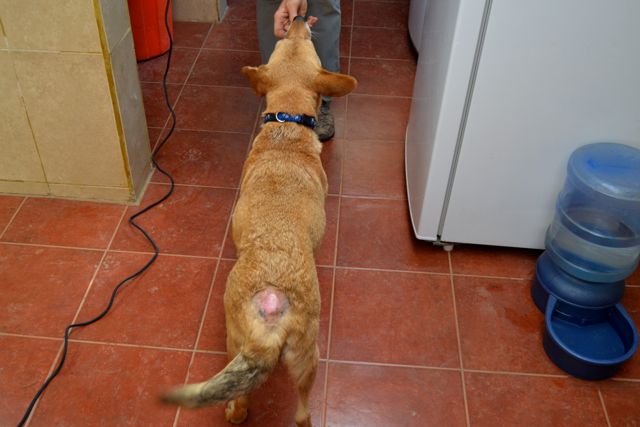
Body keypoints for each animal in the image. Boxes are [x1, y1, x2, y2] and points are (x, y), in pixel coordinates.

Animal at [161, 16, 357, 427]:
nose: (297, 17)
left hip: (249, 345)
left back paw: (237, 410)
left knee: (249, 404)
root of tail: (270, 308)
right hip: (305, 357)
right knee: (297, 412)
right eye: (290, 44)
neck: (287, 125)